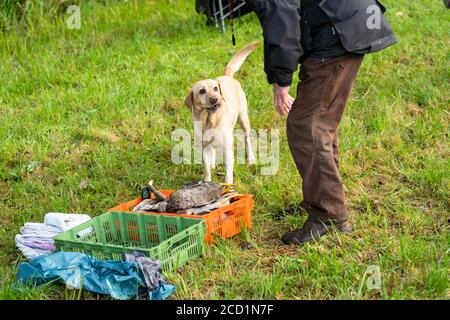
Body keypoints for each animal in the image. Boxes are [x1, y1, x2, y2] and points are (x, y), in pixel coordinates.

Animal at [185, 41, 258, 184]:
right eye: (202, 91)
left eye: (215, 88)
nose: (216, 99)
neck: (210, 120)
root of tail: (226, 76)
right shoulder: (204, 147)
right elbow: (207, 170)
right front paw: (206, 183)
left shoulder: (228, 150)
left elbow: (228, 174)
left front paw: (229, 186)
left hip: (243, 119)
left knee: (247, 138)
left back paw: (251, 158)